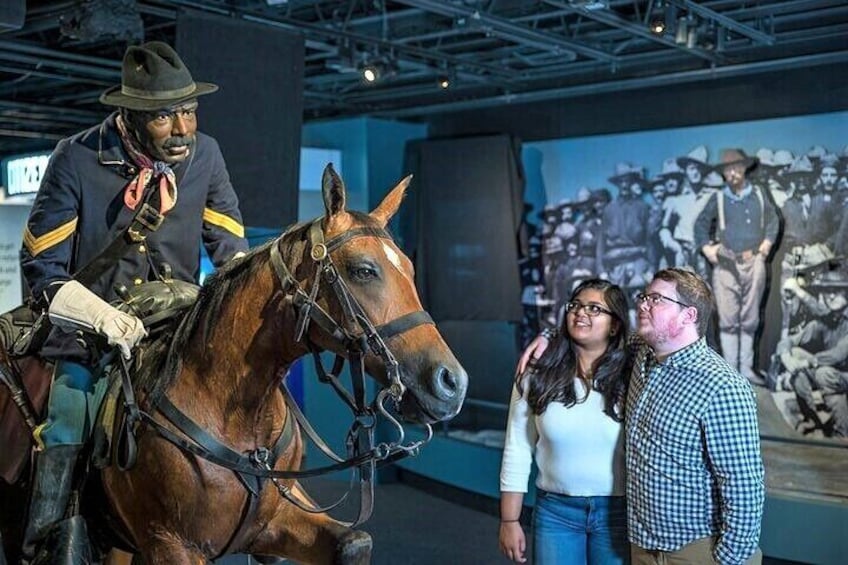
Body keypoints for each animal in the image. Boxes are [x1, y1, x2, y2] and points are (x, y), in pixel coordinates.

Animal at [0, 162, 468, 560]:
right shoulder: (172, 545)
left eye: (409, 269)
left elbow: (353, 544)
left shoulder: (277, 523)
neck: (238, 414)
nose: (451, 382)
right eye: (363, 270)